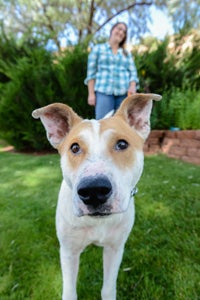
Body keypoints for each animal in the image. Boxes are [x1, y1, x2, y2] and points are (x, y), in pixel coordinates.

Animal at [32, 92, 162, 298]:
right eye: (74, 148)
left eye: (122, 144)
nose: (93, 191)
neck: (97, 221)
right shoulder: (68, 252)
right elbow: (69, 291)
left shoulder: (115, 249)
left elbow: (108, 288)